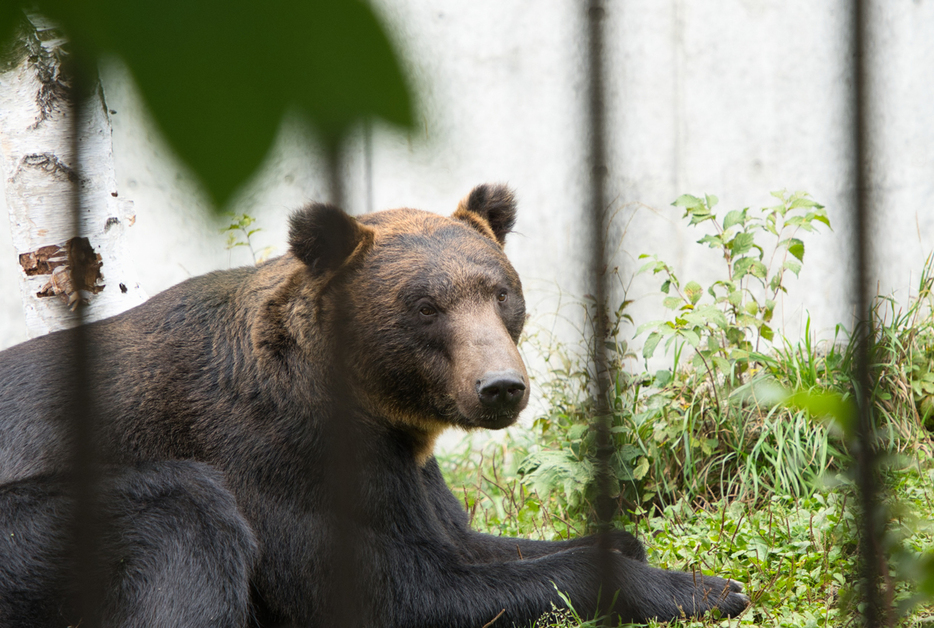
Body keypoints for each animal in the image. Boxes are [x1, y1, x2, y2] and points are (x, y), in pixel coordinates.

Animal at [0, 185, 748, 628]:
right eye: (425, 305)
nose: (502, 386)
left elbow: (464, 540)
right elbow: (398, 591)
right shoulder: (275, 455)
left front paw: (627, 544)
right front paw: (706, 589)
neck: (379, 411)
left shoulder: (407, 471)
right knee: (183, 514)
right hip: (34, 532)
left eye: (500, 291)